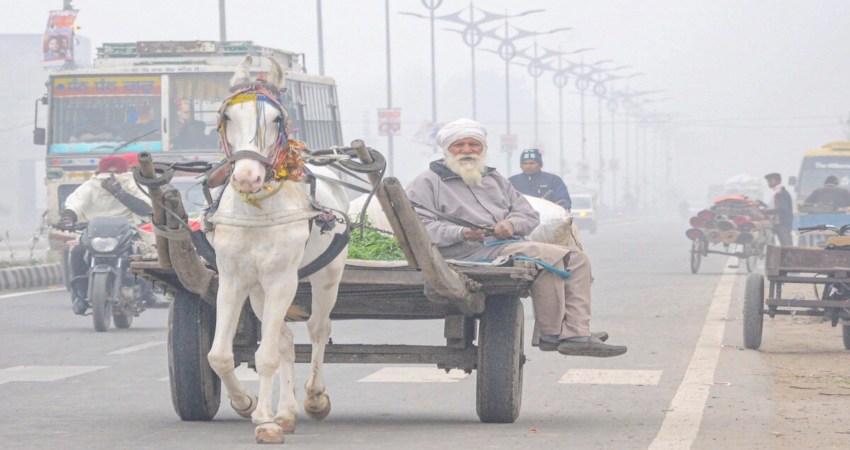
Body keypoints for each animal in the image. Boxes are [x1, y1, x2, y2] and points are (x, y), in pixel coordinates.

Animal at [205, 55, 348, 442]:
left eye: (276, 120)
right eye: (227, 117)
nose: (246, 177)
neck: (258, 209)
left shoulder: (282, 279)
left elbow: (265, 355)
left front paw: (265, 422)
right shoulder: (233, 281)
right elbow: (219, 355)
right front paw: (249, 404)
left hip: (327, 276)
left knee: (318, 328)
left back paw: (314, 397)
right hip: (258, 291)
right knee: (283, 338)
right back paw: (286, 411)